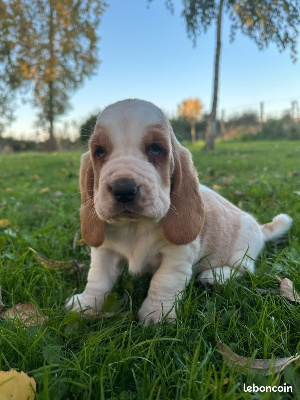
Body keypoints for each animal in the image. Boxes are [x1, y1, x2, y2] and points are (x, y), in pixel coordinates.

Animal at [65, 99, 290, 324]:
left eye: (156, 149)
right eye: (100, 151)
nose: (124, 189)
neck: (134, 225)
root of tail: (260, 228)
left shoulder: (177, 257)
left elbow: (163, 281)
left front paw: (157, 315)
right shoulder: (104, 251)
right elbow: (98, 279)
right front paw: (85, 304)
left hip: (242, 250)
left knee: (244, 269)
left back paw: (213, 276)